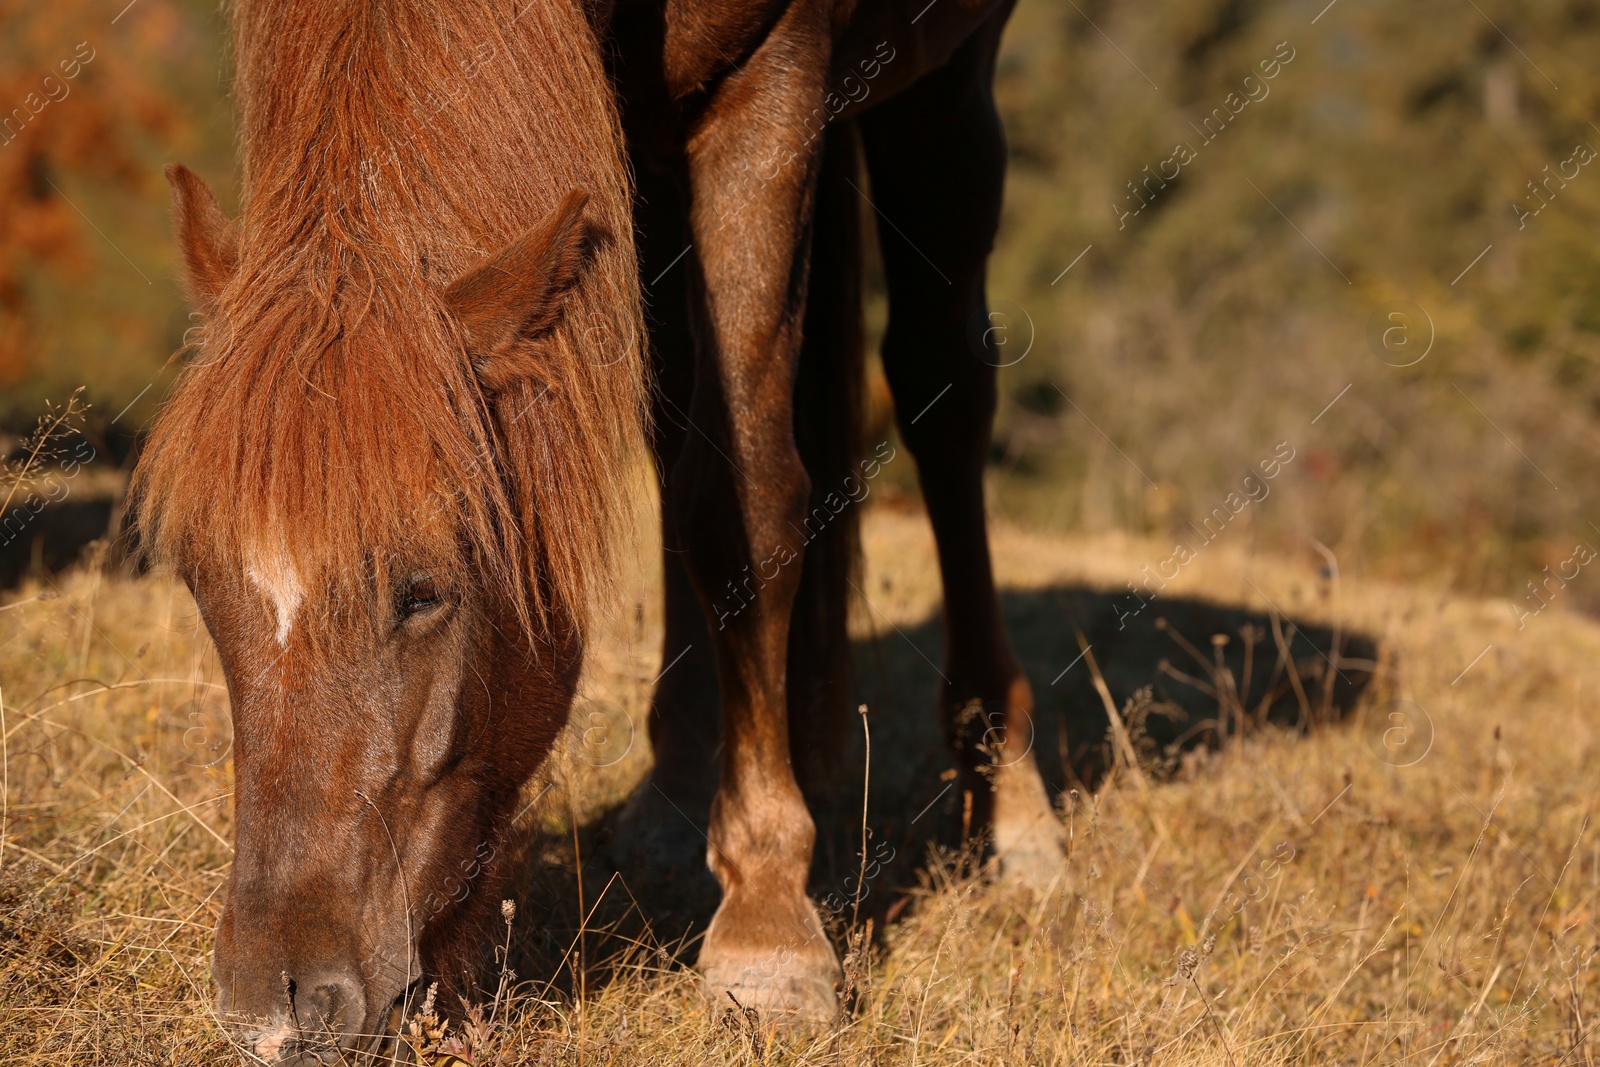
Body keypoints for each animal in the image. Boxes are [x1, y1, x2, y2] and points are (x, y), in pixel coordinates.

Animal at [137, 0, 1062, 1055]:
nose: (275, 1010)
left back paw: (1012, 801)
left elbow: (743, 504)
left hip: (944, 83)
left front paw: (770, 933)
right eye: (203, 585)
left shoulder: (768, 84)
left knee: (943, 389)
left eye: (424, 591)